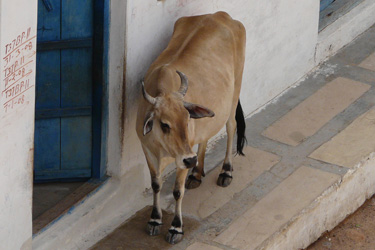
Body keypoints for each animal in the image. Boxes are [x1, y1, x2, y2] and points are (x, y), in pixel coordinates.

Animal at [135, 11, 247, 244]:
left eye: (187, 119)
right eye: (165, 124)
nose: (190, 160)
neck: (163, 149)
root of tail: (222, 15)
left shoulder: (182, 158)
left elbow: (178, 191)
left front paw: (176, 228)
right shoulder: (148, 151)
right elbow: (156, 184)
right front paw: (154, 220)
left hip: (235, 92)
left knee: (231, 127)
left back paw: (225, 171)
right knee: (205, 137)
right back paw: (197, 173)